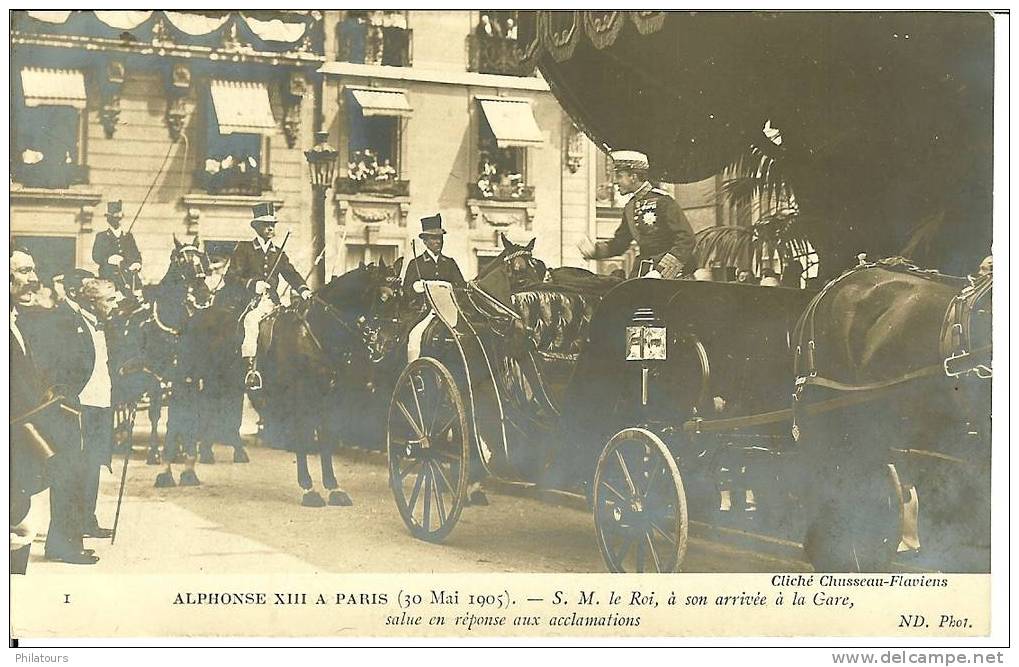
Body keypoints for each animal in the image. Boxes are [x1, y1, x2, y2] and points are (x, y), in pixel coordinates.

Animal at [106, 237, 213, 466]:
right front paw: (154, 452)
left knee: (127, 402)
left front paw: (180, 450)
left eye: (201, 259)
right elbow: (155, 413)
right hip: (117, 373)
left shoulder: (182, 376)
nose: (203, 294)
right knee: (116, 402)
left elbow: (180, 410)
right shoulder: (154, 377)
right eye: (181, 261)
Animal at [252, 260, 403, 507]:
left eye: (401, 296)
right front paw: (308, 488)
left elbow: (326, 434)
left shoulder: (332, 394)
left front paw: (333, 487)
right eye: (382, 296)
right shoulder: (301, 394)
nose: (389, 343)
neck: (318, 333)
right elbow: (302, 433)